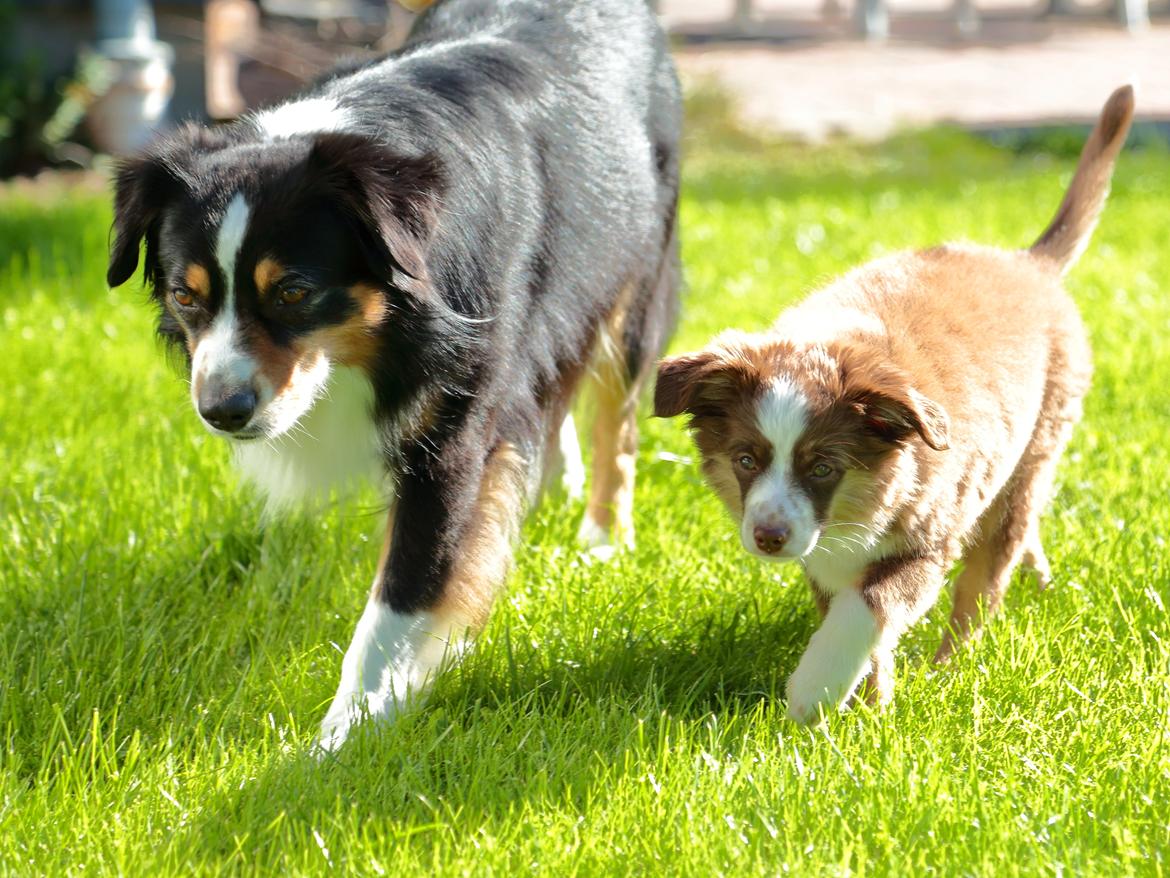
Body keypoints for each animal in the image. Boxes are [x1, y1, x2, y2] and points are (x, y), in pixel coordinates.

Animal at [108, 0, 683, 749]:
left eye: (293, 292)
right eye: (186, 295)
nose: (222, 411)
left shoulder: (455, 425)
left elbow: (403, 595)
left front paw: (342, 737)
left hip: (635, 269)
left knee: (616, 413)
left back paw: (605, 539)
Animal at [655, 86, 1127, 725]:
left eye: (823, 467)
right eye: (745, 460)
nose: (770, 538)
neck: (853, 514)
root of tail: (1027, 264)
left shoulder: (929, 537)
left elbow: (869, 607)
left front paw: (816, 691)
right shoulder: (825, 564)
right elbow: (855, 620)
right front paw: (869, 709)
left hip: (1030, 455)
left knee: (984, 581)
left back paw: (949, 667)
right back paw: (1038, 581)